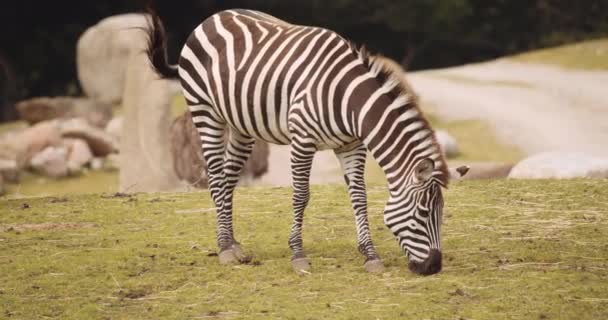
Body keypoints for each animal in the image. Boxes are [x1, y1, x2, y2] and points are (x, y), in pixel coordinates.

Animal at [146, 8, 452, 276]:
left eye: (440, 212)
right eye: (424, 212)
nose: (433, 267)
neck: (347, 101)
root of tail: (212, 17)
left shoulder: (351, 145)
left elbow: (359, 197)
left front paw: (370, 255)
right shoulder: (302, 140)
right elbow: (301, 196)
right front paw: (298, 255)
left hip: (242, 126)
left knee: (229, 179)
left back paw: (233, 244)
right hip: (205, 112)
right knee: (217, 178)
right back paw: (224, 249)